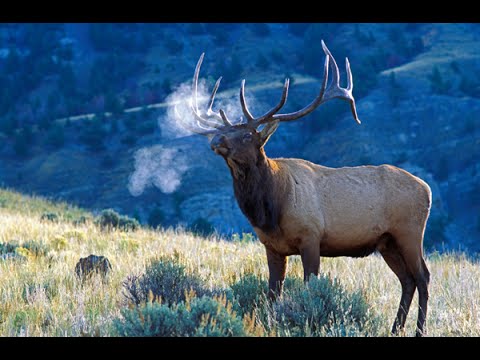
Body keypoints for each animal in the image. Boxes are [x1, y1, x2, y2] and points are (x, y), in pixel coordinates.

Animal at [174, 40, 434, 336]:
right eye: (226, 132)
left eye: (247, 135)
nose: (215, 140)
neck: (271, 208)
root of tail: (427, 189)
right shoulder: (272, 247)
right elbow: (273, 292)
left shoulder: (311, 237)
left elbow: (310, 288)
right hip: (387, 241)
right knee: (407, 279)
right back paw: (394, 329)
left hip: (409, 231)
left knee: (423, 276)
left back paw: (419, 330)